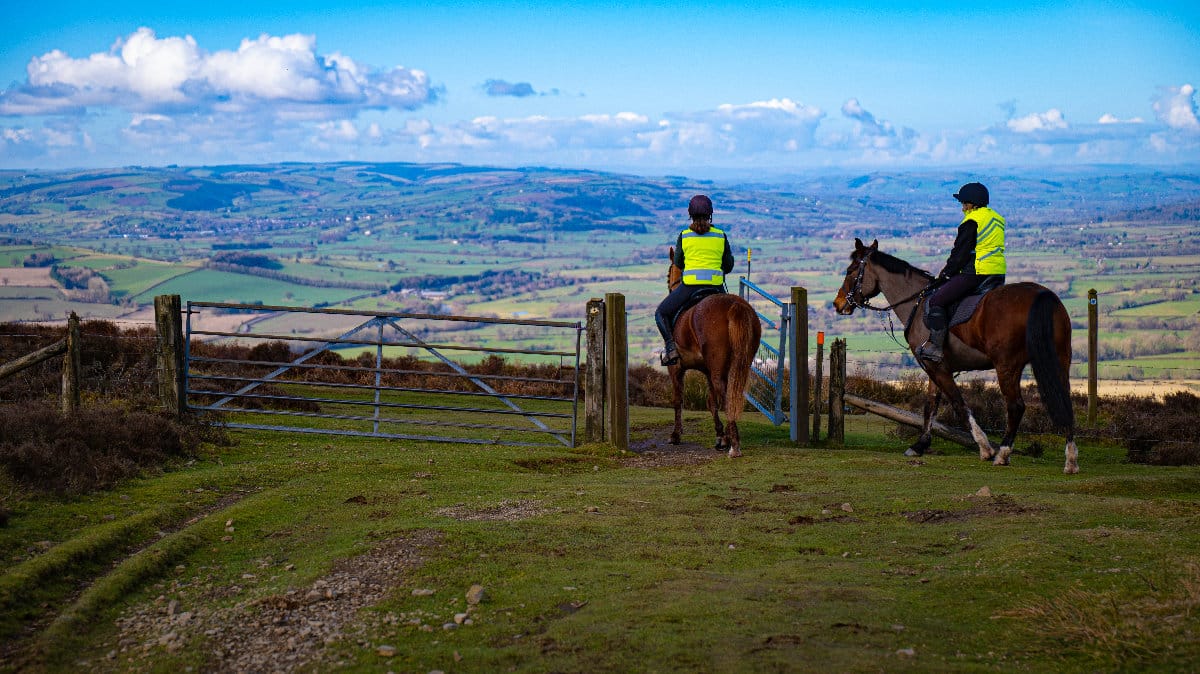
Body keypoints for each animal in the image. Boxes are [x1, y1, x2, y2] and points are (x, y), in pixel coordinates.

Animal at [665, 248, 763, 457]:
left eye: (669, 274)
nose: (670, 285)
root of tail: (734, 305)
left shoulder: (676, 368)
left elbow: (678, 399)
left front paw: (675, 435)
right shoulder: (708, 371)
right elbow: (711, 401)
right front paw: (720, 436)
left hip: (717, 369)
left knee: (726, 397)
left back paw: (735, 446)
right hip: (738, 364)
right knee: (730, 395)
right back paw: (730, 439)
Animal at [832, 238, 1078, 474]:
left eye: (851, 270)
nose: (838, 304)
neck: (917, 304)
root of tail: (1042, 294)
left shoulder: (938, 368)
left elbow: (958, 404)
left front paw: (985, 447)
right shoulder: (933, 366)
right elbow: (930, 405)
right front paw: (920, 445)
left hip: (1007, 366)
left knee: (1016, 407)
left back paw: (1002, 454)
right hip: (1060, 360)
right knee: (1064, 401)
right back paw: (1071, 459)